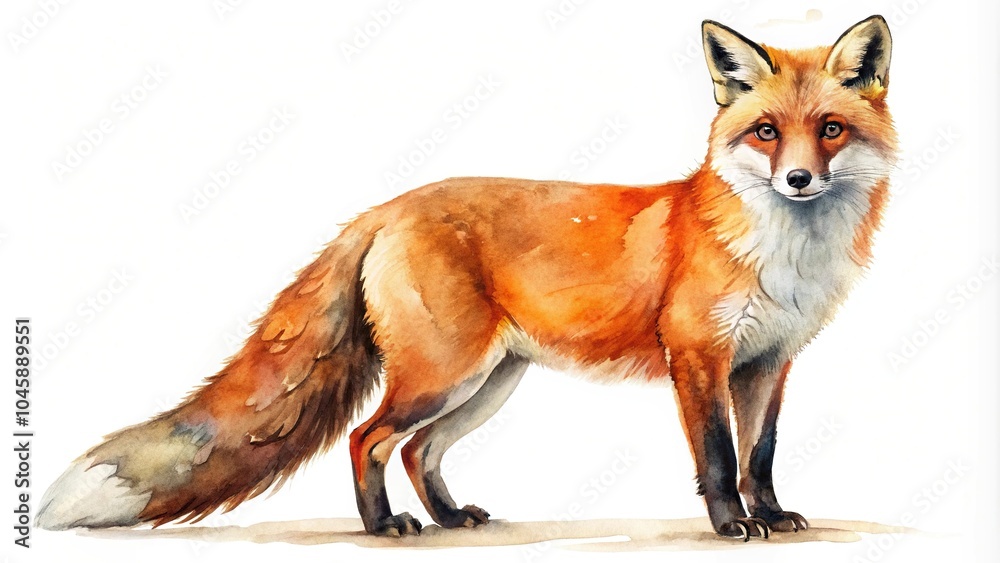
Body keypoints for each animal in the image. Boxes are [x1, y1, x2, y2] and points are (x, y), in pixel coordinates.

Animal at [37, 16, 896, 541]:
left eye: (829, 129)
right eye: (765, 132)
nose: (797, 180)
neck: (785, 254)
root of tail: (384, 206)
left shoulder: (768, 363)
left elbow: (762, 454)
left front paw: (773, 514)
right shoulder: (697, 357)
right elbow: (718, 456)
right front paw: (729, 523)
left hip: (487, 382)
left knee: (419, 452)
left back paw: (450, 518)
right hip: (442, 375)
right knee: (368, 437)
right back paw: (383, 527)